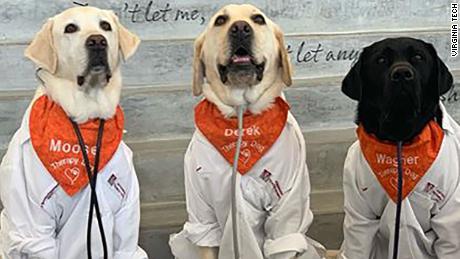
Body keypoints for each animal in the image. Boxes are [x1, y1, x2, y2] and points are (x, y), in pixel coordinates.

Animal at [0, 6, 147, 259]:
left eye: (105, 26)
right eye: (70, 28)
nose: (97, 41)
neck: (87, 114)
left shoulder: (125, 214)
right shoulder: (34, 230)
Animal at [171, 4, 326, 259]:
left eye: (258, 19)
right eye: (220, 20)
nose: (241, 28)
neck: (242, 118)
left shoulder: (285, 217)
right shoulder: (202, 215)